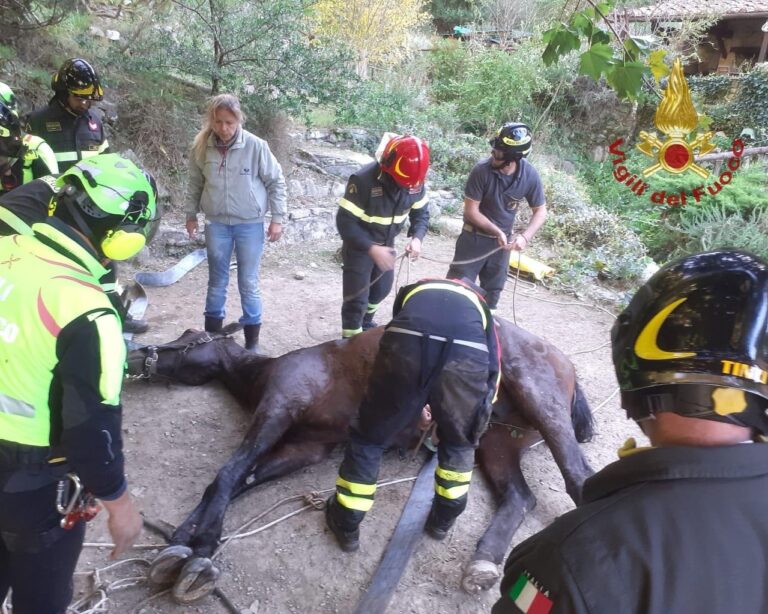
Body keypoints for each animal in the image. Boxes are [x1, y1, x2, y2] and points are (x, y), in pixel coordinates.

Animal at [125, 317, 594, 604]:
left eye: (188, 337)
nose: (136, 356)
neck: (264, 373)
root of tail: (567, 362)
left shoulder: (279, 407)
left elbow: (228, 474)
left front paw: (201, 550)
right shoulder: (307, 447)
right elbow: (242, 479)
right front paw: (180, 540)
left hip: (541, 400)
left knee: (578, 478)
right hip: (495, 439)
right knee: (520, 497)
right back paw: (483, 562)